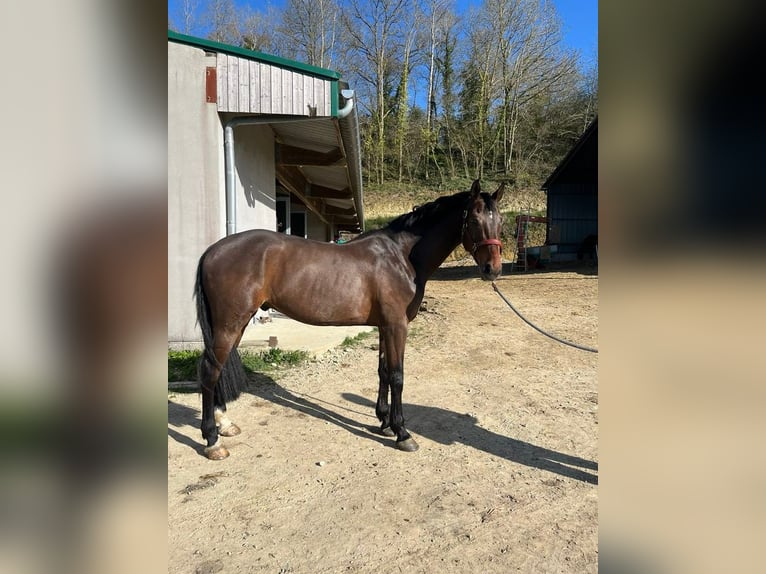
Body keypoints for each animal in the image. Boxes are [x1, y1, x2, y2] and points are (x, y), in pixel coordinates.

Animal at [194, 179, 505, 459]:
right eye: (473, 220)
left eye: (500, 221)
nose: (493, 269)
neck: (402, 257)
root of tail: (212, 250)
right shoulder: (397, 326)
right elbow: (397, 376)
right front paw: (402, 433)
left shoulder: (384, 326)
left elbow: (383, 372)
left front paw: (385, 423)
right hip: (230, 323)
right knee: (209, 371)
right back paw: (212, 441)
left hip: (235, 325)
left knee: (218, 368)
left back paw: (225, 424)